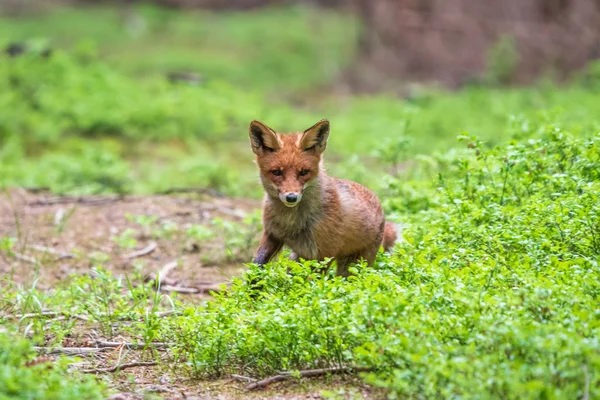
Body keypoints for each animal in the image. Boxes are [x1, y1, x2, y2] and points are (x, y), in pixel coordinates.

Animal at [248, 119, 398, 276]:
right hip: (299, 258)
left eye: (304, 172)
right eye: (277, 172)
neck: (290, 222)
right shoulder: (272, 236)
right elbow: (256, 266)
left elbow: (314, 281)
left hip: (352, 267)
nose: (291, 197)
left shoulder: (323, 254)